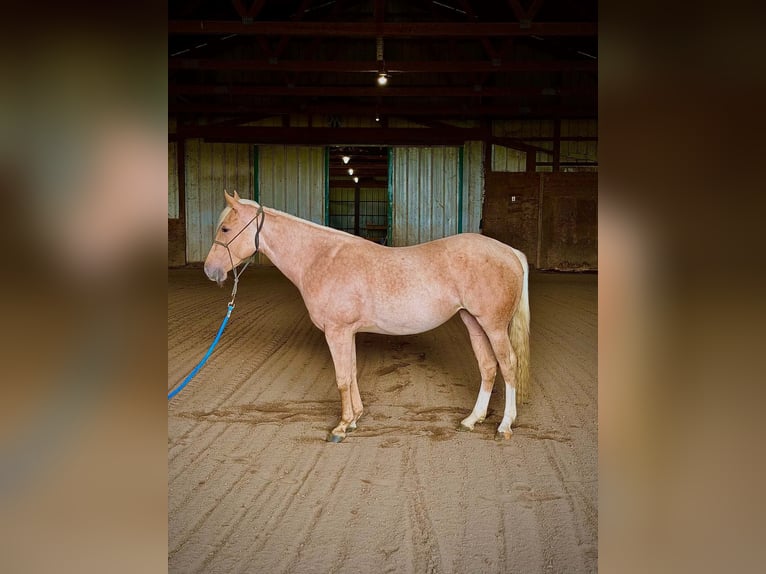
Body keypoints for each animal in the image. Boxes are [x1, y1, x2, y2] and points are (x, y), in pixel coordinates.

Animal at [204, 191, 530, 443]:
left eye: (225, 230)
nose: (210, 270)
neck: (322, 258)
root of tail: (510, 252)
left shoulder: (336, 331)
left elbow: (342, 378)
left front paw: (340, 428)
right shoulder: (346, 332)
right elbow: (351, 372)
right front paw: (354, 419)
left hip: (494, 326)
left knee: (508, 365)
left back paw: (504, 427)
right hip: (473, 322)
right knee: (488, 366)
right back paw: (471, 420)